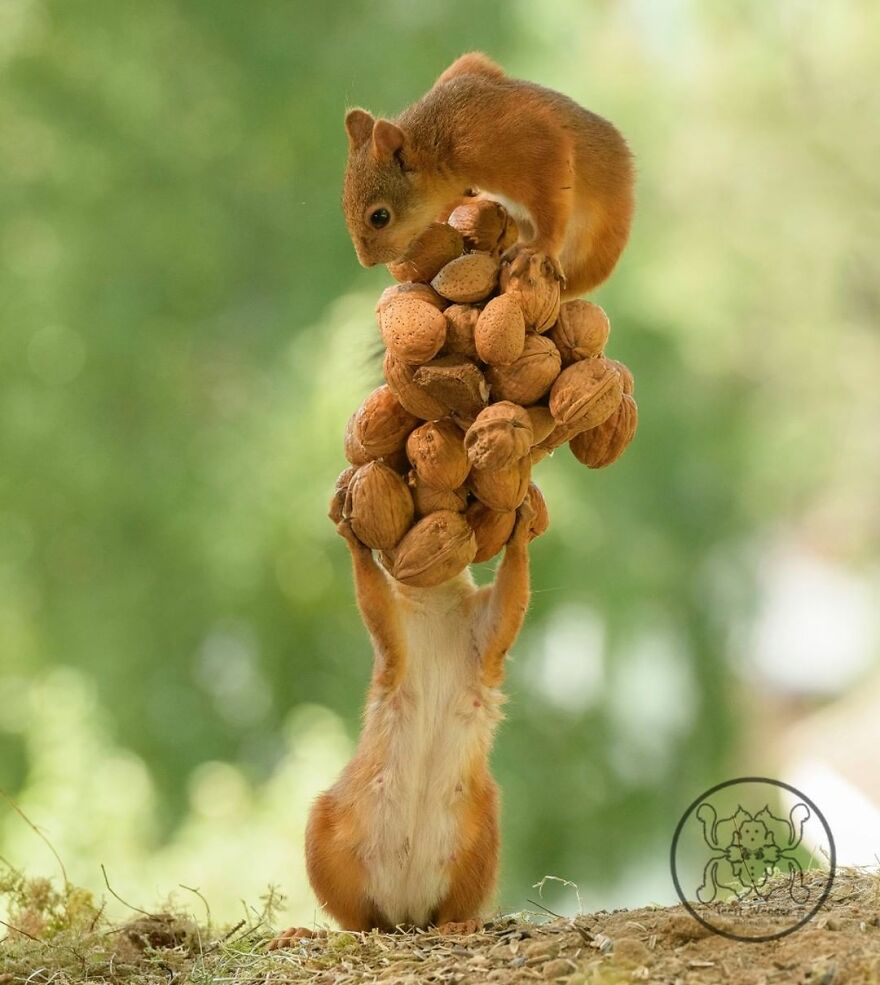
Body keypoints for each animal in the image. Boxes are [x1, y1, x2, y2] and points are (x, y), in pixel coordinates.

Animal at [270, 502, 536, 945]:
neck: (436, 600)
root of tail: (406, 912)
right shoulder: (396, 635)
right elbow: (375, 603)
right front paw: (352, 536)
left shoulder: (484, 632)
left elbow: (510, 603)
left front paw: (521, 525)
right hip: (329, 849)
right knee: (357, 921)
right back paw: (310, 933)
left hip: (480, 845)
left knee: (450, 909)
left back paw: (460, 923)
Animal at [341, 51, 634, 298]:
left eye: (380, 217)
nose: (367, 262)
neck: (440, 142)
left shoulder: (531, 144)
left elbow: (549, 201)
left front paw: (539, 248)